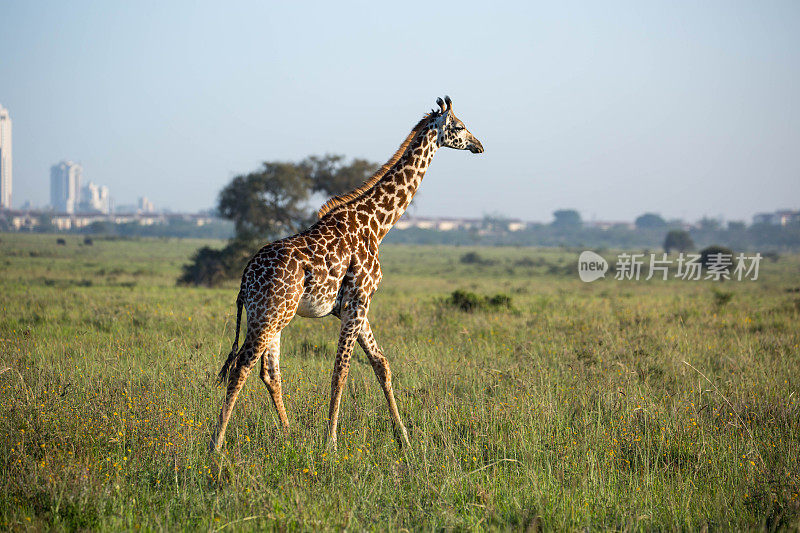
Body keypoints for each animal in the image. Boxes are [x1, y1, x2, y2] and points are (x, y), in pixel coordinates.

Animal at [211, 95, 482, 448]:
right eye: (460, 126)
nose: (479, 145)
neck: (377, 225)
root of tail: (245, 277)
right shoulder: (358, 302)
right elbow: (341, 371)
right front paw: (331, 442)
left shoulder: (354, 306)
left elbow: (381, 364)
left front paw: (404, 439)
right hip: (270, 314)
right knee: (242, 366)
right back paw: (216, 445)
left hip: (272, 316)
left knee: (269, 372)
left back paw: (289, 435)